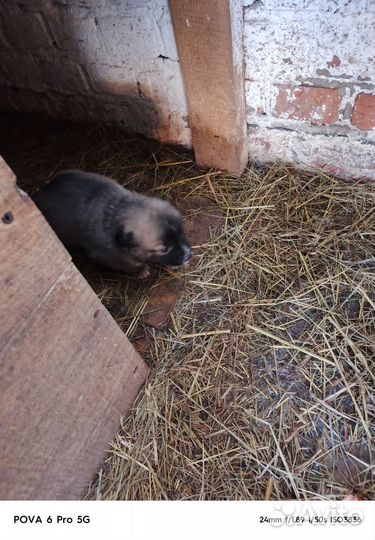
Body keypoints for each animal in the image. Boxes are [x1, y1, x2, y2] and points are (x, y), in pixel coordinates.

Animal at [33, 170, 192, 278]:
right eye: (164, 249)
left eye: (182, 232)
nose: (189, 255)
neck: (119, 209)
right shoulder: (108, 257)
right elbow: (130, 264)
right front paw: (141, 271)